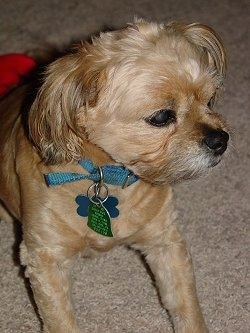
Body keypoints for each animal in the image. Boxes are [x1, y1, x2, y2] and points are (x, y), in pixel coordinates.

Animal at [0, 20, 229, 332]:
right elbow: (60, 320)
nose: (221, 141)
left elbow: (186, 305)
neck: (105, 174)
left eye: (209, 99)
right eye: (161, 117)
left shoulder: (165, 242)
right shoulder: (46, 258)